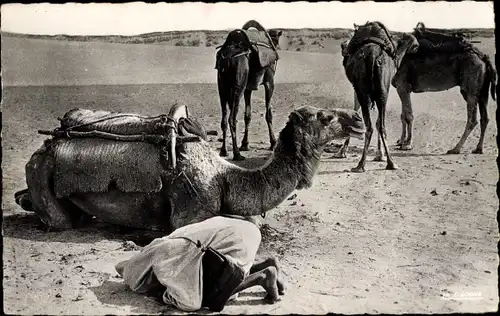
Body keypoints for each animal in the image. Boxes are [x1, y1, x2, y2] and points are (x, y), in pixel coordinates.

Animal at [12, 105, 364, 232]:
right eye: (325, 117)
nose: (359, 119)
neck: (225, 177)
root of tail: (45, 146)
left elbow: (252, 219)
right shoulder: (187, 212)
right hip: (39, 171)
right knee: (61, 221)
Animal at [217, 20, 284, 160]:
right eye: (277, 39)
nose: (278, 48)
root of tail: (227, 59)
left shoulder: (248, 89)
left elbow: (247, 115)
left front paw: (245, 144)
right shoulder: (269, 82)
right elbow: (268, 113)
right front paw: (273, 143)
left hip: (222, 88)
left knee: (224, 119)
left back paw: (224, 151)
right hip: (238, 87)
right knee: (232, 118)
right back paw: (237, 154)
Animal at [334, 21, 420, 173]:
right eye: (413, 42)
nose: (418, 46)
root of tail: (372, 56)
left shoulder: (368, 90)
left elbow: (365, 115)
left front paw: (380, 155)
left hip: (372, 91)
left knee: (375, 125)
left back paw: (370, 164)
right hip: (373, 90)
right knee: (376, 125)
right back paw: (377, 163)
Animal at [392, 22, 498, 153]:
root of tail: (483, 58)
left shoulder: (403, 86)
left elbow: (408, 116)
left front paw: (407, 144)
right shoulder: (402, 88)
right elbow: (403, 115)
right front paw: (401, 141)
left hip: (471, 86)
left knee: (472, 119)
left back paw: (455, 148)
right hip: (482, 89)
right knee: (485, 117)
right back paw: (478, 148)